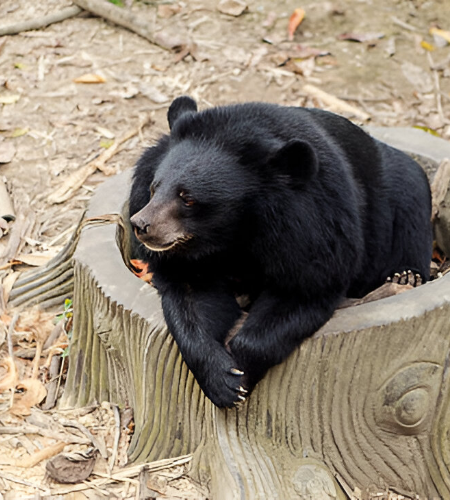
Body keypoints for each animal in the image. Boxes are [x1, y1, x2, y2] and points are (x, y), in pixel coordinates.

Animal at [129, 95, 432, 408]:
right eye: (153, 188)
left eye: (187, 199)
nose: (141, 224)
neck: (232, 233)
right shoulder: (190, 259)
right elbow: (192, 301)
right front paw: (224, 382)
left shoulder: (316, 232)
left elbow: (301, 292)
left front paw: (243, 373)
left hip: (402, 189)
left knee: (411, 211)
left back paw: (405, 276)